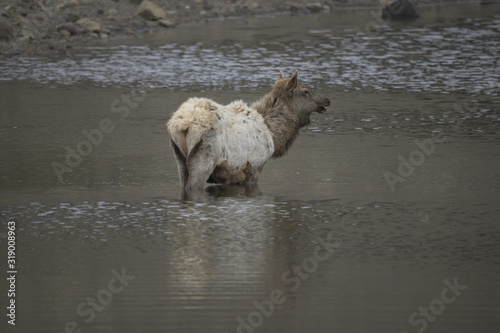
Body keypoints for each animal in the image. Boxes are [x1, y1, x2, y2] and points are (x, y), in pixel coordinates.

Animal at [167, 70, 332, 195]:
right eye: (305, 91)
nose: (327, 100)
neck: (274, 135)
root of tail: (182, 124)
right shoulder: (255, 167)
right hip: (205, 155)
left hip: (179, 156)